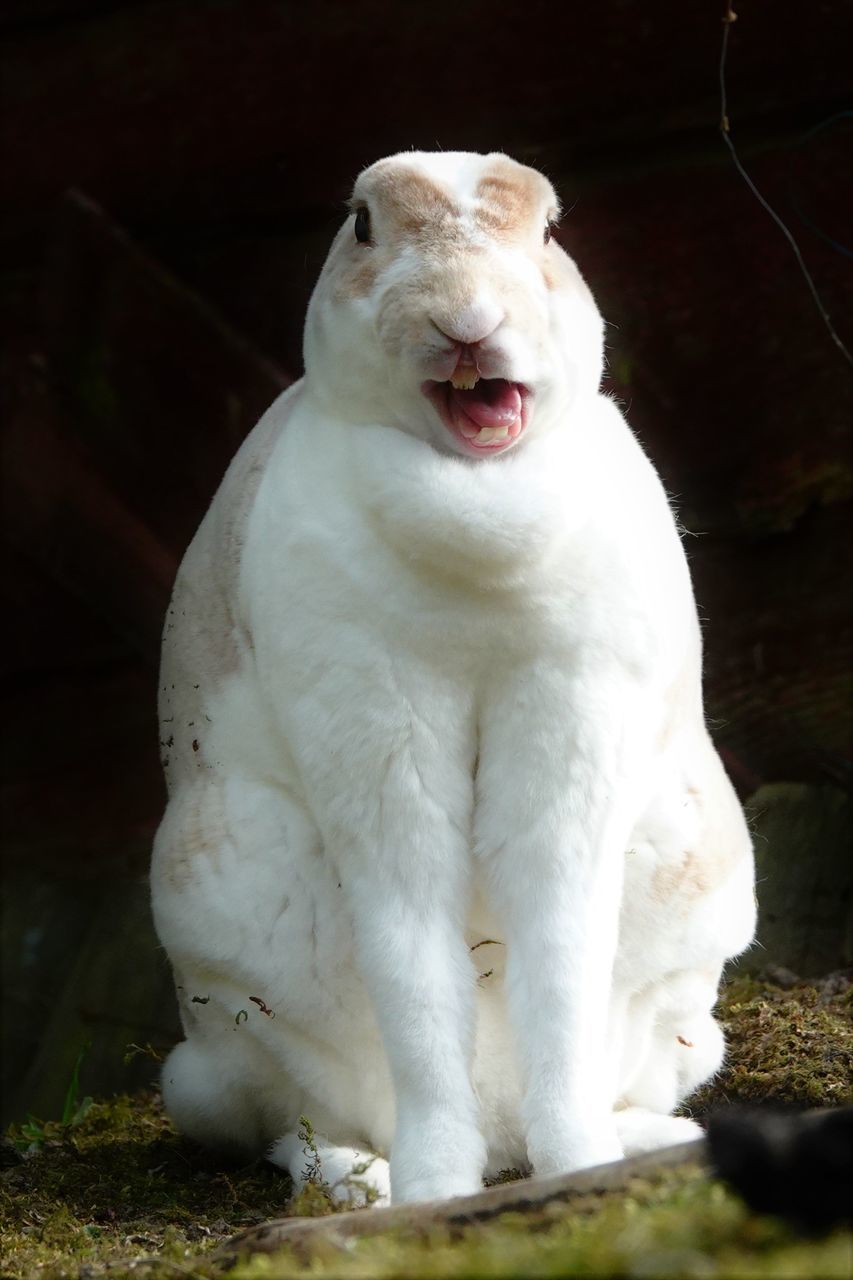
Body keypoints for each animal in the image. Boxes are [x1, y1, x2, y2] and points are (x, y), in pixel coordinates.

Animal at [149, 152, 753, 1208]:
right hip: (225, 1015)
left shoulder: (570, 720)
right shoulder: (377, 738)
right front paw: (437, 1190)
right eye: (362, 225)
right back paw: (367, 1181)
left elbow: (558, 942)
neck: (474, 487)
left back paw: (640, 1138)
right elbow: (415, 961)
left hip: (690, 966)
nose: (466, 319)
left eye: (548, 231)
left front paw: (578, 1166)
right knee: (290, 1119)